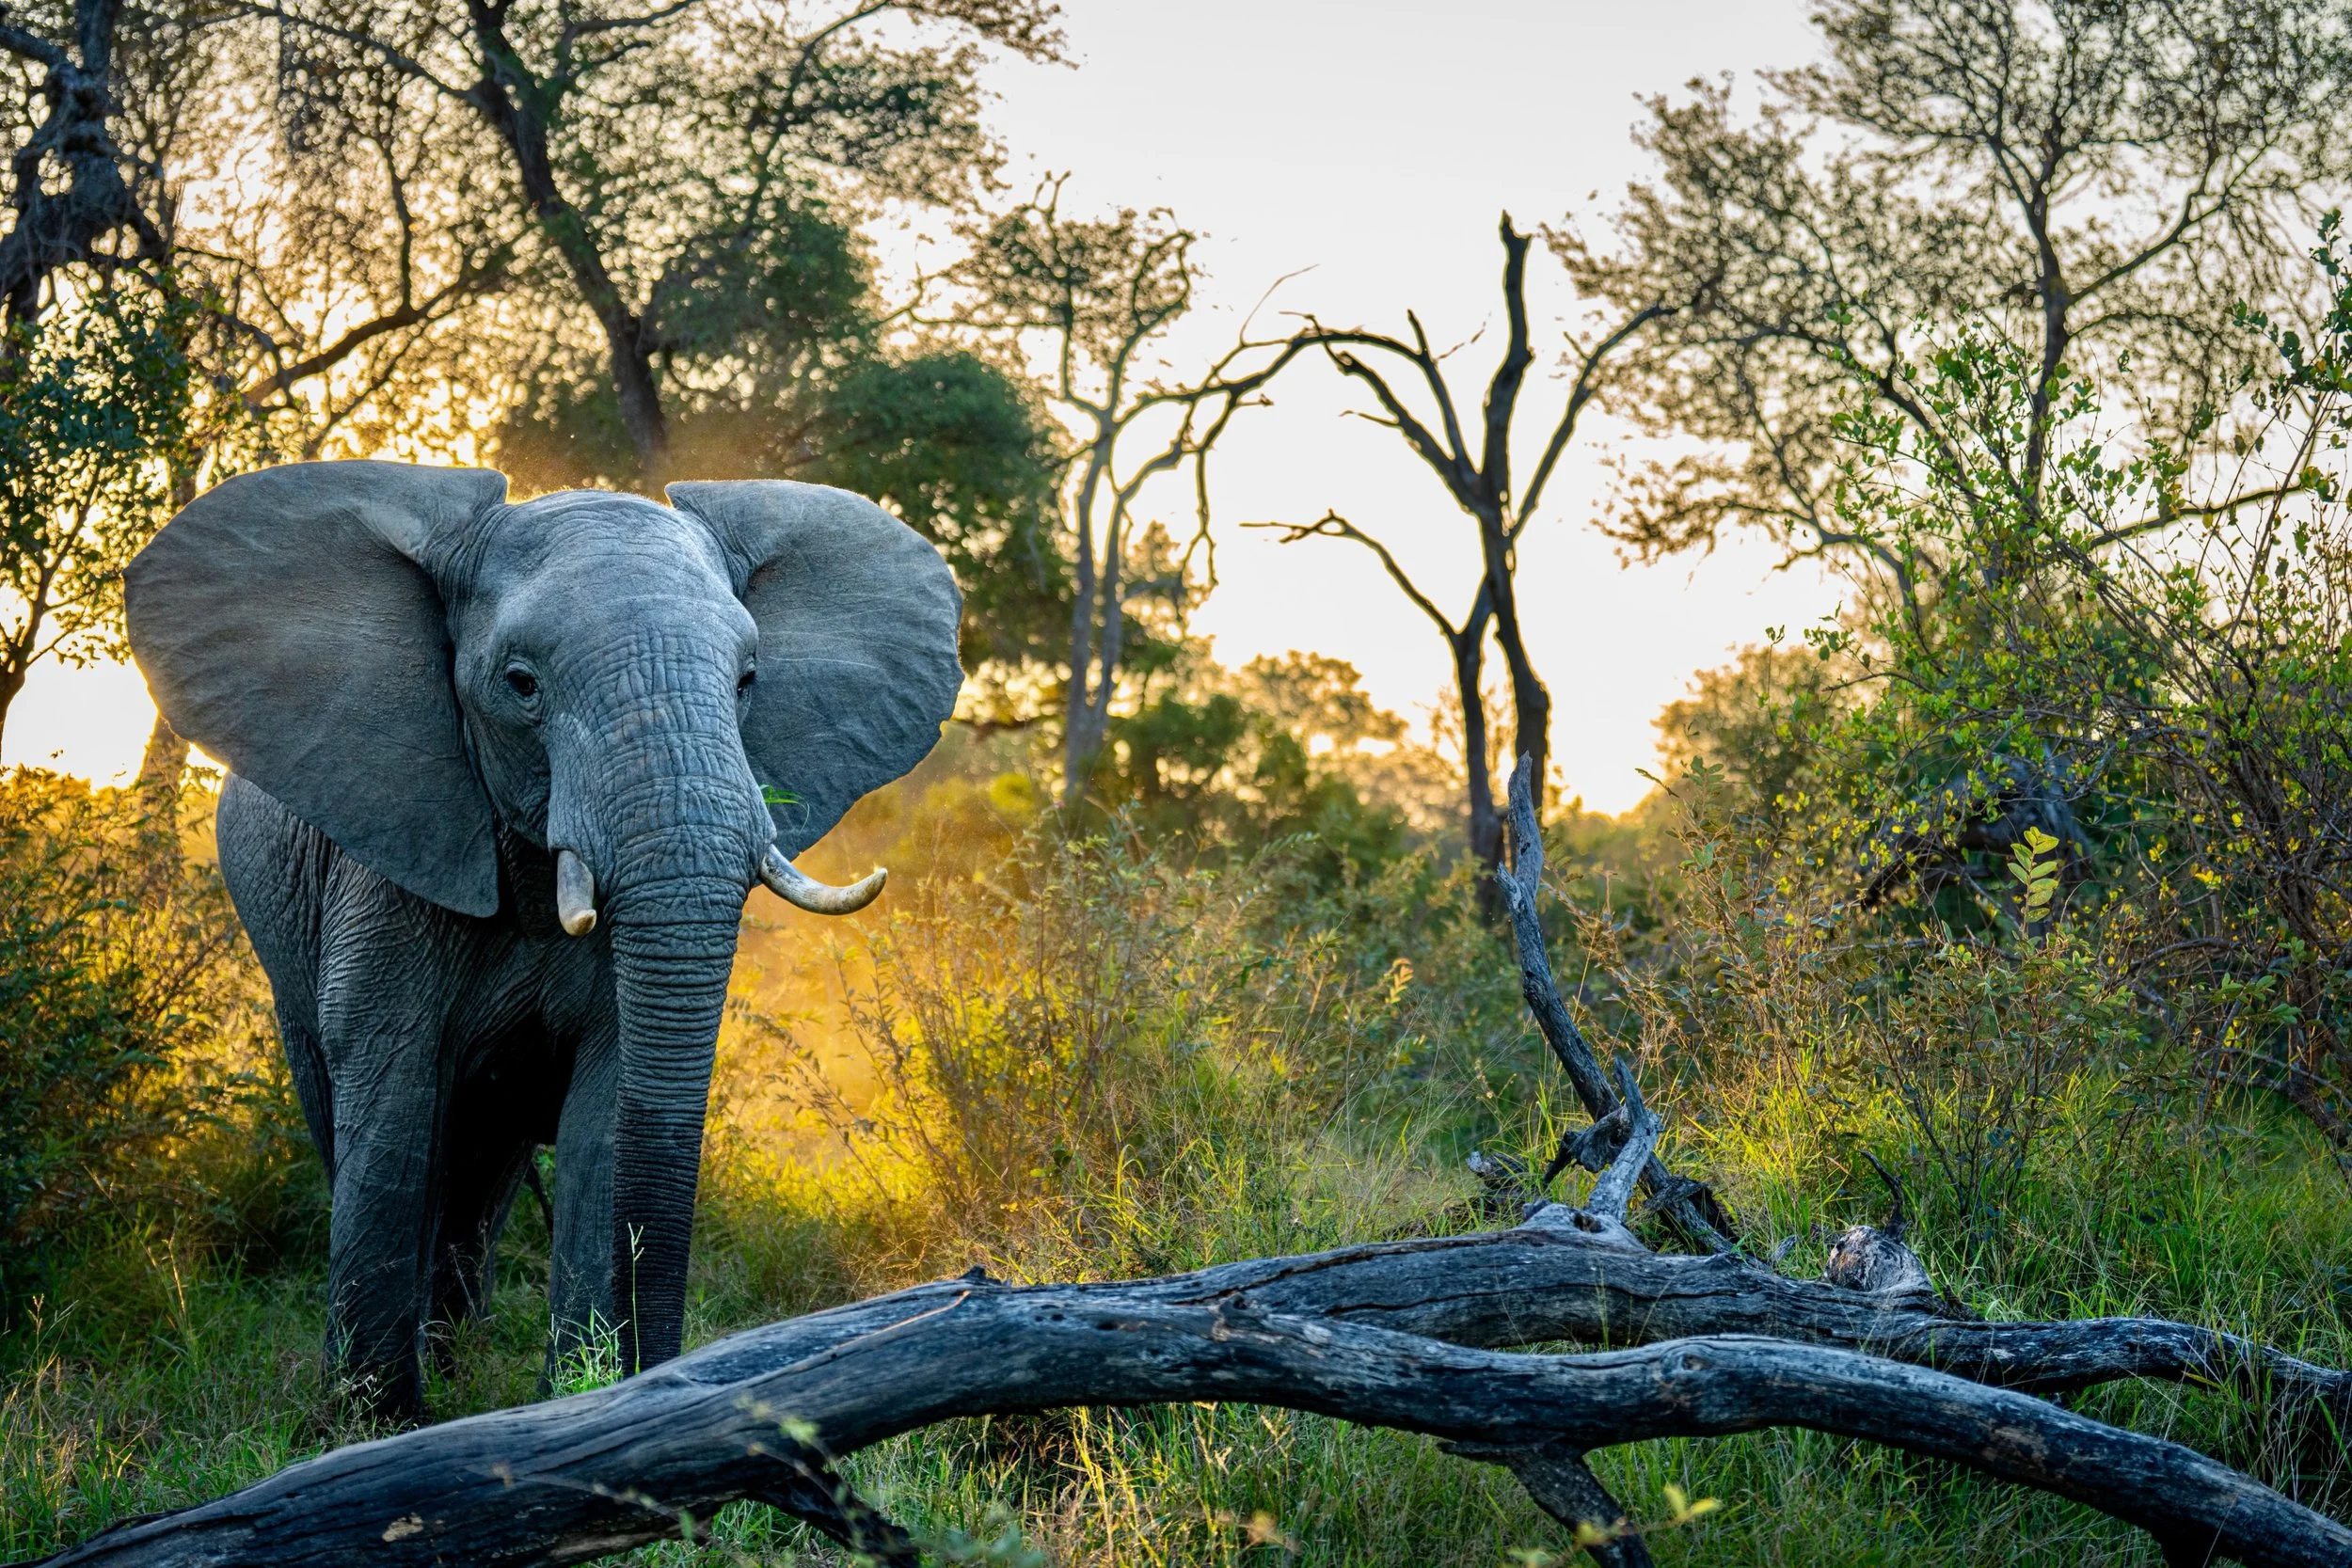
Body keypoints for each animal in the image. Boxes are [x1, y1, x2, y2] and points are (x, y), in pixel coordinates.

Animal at [124, 460, 961, 1417]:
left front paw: (579, 1394)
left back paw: (460, 1361)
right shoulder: (392, 861)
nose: (662, 1367)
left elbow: (608, 1108)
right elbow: (393, 1092)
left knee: (483, 1166)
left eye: (749, 679)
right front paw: (376, 1419)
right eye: (521, 684)